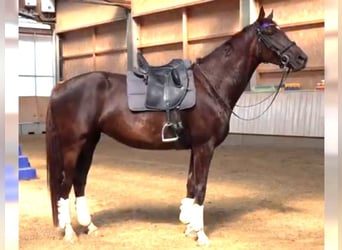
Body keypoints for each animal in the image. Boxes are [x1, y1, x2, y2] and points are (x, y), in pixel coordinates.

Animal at [45, 6, 308, 246]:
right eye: (271, 31)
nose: (302, 58)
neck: (211, 85)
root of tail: (60, 87)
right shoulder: (205, 147)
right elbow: (201, 187)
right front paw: (201, 235)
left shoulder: (196, 148)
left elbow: (191, 184)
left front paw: (190, 228)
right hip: (73, 145)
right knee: (65, 184)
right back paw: (69, 232)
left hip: (89, 142)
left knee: (79, 180)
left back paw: (89, 226)